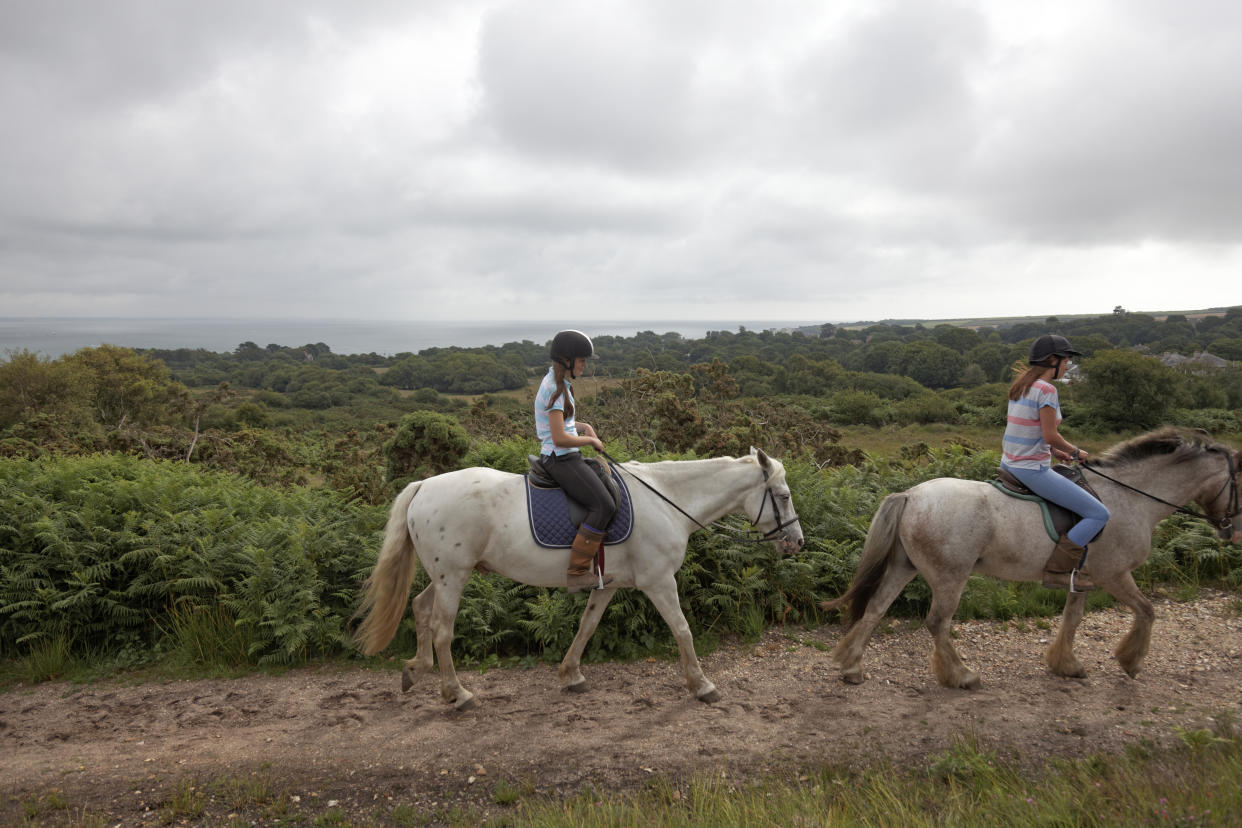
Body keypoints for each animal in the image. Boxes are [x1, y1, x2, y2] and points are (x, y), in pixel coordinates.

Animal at [355, 449, 809, 710]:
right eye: (784, 496)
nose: (797, 542)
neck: (667, 501)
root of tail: (422, 486)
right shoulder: (659, 581)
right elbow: (682, 630)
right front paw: (702, 686)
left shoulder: (610, 585)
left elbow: (587, 626)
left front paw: (570, 675)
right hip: (454, 575)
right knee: (442, 630)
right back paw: (457, 694)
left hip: (446, 574)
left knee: (420, 608)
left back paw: (415, 670)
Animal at [819, 431, 1237, 690]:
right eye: (1240, 483)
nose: (1232, 530)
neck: (1131, 498)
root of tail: (910, 495)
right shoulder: (1114, 575)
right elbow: (1147, 611)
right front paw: (1130, 662)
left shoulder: (1081, 579)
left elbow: (1072, 619)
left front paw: (1066, 665)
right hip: (950, 575)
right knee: (937, 622)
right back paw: (962, 676)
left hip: (905, 567)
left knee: (875, 608)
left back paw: (852, 667)